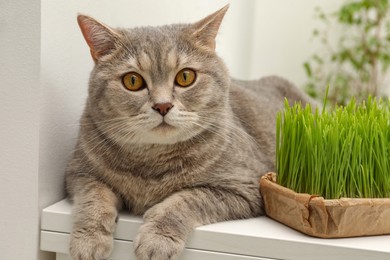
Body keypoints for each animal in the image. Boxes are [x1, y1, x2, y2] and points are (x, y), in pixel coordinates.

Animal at [65, 4, 312, 260]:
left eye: (185, 77)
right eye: (132, 80)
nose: (162, 105)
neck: (152, 163)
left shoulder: (244, 187)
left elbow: (185, 200)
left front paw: (157, 239)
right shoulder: (79, 172)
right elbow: (93, 198)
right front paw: (88, 240)